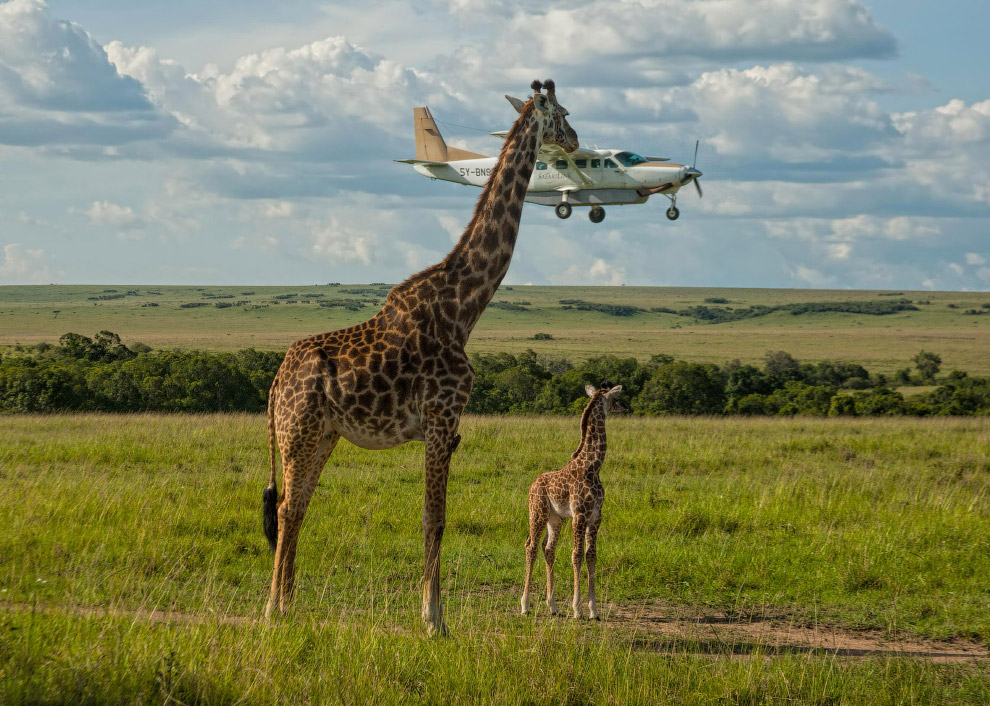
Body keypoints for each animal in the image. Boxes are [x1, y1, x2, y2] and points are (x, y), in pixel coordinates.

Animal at [262, 78, 580, 632]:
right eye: (560, 113)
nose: (577, 139)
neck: (464, 306)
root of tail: (277, 381)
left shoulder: (447, 426)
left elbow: (435, 518)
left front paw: (432, 613)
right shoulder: (440, 416)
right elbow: (435, 518)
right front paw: (434, 619)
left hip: (322, 434)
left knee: (295, 507)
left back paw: (287, 605)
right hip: (296, 432)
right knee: (284, 508)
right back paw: (273, 609)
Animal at [524, 380, 624, 616]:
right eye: (615, 398)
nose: (625, 407)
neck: (593, 467)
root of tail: (532, 484)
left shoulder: (596, 517)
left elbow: (591, 555)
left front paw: (594, 610)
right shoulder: (579, 515)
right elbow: (576, 555)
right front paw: (577, 609)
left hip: (555, 519)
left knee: (548, 549)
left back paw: (552, 606)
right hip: (538, 513)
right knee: (531, 546)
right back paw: (525, 605)